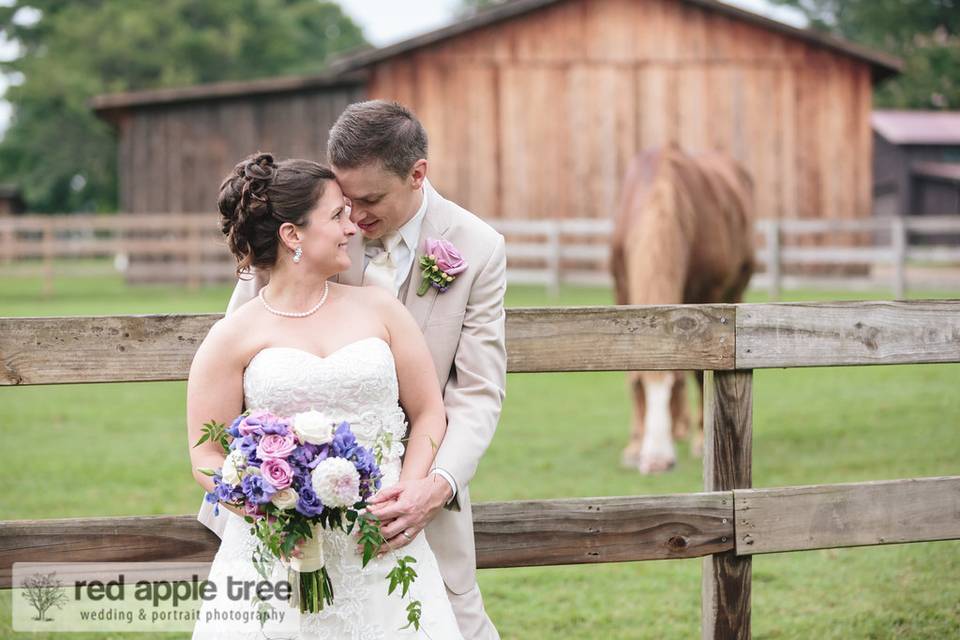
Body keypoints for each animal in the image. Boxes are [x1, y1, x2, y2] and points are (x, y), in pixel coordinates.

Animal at [612, 146, 752, 476]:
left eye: (674, 387)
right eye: (641, 385)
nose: (656, 463)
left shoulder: (707, 299)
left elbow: (699, 373)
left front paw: (701, 440)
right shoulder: (622, 290)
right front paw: (634, 445)